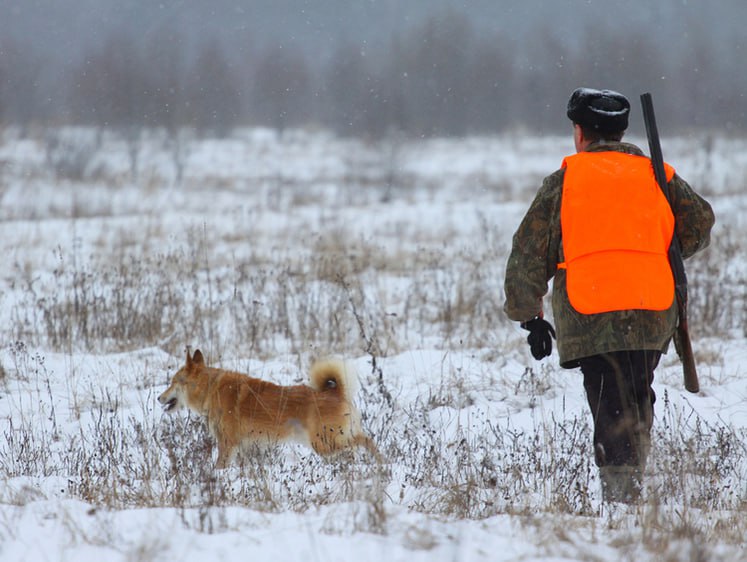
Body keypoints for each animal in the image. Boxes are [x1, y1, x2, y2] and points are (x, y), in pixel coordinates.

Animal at [159, 348, 380, 466]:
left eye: (173, 382)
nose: (159, 398)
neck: (210, 389)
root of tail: (335, 393)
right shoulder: (244, 448)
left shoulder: (227, 444)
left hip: (324, 444)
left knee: (365, 440)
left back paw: (381, 461)